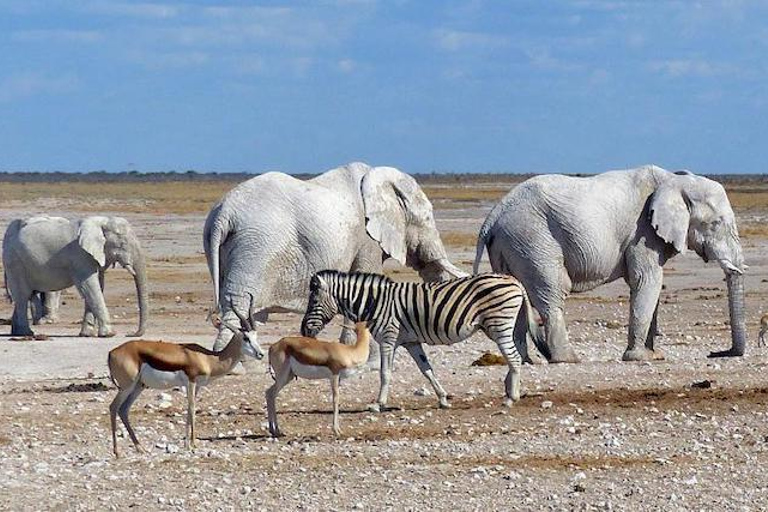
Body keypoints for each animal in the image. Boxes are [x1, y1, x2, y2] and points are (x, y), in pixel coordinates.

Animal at [2, 215, 148, 338]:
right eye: (123, 244)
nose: (130, 334)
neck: (102, 221)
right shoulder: (80, 256)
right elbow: (90, 286)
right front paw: (109, 334)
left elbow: (97, 286)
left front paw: (87, 335)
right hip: (15, 262)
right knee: (23, 295)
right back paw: (26, 333)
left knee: (23, 295)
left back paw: (17, 333)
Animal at [108, 298, 264, 458]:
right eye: (246, 338)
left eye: (256, 336)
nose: (261, 354)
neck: (208, 359)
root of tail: (112, 352)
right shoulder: (191, 381)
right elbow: (192, 407)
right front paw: (194, 444)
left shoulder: (197, 385)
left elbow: (189, 410)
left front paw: (187, 445)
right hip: (127, 386)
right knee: (113, 407)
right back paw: (117, 451)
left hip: (139, 386)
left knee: (123, 410)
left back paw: (140, 448)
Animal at [204, 162, 464, 350]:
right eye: (428, 217)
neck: (378, 178)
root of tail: (223, 215)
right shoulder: (366, 238)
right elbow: (365, 276)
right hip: (255, 247)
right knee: (238, 304)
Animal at [300, 270, 540, 410]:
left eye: (313, 302)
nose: (303, 330)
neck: (375, 301)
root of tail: (513, 279)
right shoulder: (411, 342)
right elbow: (427, 370)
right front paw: (443, 399)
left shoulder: (388, 338)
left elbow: (385, 373)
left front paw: (378, 404)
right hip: (503, 326)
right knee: (515, 355)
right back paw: (510, 390)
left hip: (499, 324)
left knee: (514, 357)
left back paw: (510, 398)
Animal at [472, 166, 748, 362]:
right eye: (716, 224)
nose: (717, 353)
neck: (673, 180)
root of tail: (492, 217)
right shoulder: (643, 231)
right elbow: (647, 280)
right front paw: (640, 357)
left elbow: (651, 286)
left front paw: (653, 355)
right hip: (532, 240)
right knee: (553, 293)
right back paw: (567, 359)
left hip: (511, 245)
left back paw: (528, 361)